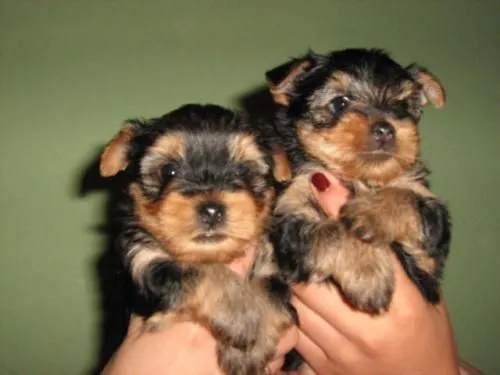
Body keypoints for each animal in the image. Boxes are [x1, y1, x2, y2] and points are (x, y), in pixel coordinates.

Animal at [98, 103, 292, 375]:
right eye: (168, 170)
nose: (211, 209)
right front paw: (241, 316)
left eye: (243, 170)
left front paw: (248, 350)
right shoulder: (142, 258)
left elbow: (270, 291)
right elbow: (201, 271)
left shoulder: (271, 261)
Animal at [264, 48, 452, 316]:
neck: (358, 177)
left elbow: (406, 197)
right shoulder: (289, 214)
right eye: (340, 103)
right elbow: (336, 230)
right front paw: (368, 274)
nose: (385, 129)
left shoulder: (432, 242)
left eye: (402, 106)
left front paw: (370, 212)